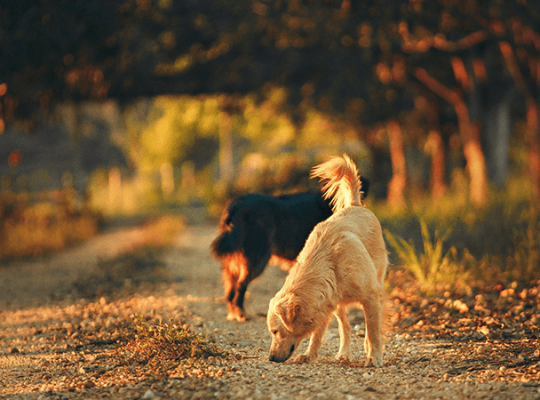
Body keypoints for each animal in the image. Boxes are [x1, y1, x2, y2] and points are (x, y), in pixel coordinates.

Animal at [209, 177, 370, 320]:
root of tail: (236, 203)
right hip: (257, 258)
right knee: (240, 286)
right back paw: (241, 313)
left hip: (236, 261)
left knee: (230, 289)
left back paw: (234, 313)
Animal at [266, 155, 388, 368]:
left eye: (275, 331)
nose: (271, 358)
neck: (329, 262)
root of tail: (355, 205)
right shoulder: (325, 301)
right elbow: (317, 334)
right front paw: (310, 354)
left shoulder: (370, 296)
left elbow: (373, 331)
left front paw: (374, 357)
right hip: (337, 305)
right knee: (345, 327)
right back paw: (344, 353)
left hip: (378, 284)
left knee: (371, 327)